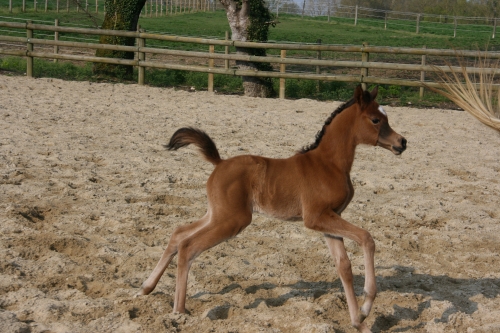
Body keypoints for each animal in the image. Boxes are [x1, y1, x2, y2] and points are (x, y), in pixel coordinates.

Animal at [136, 85, 406, 330]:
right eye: (376, 119)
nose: (402, 142)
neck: (328, 164)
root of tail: (219, 162)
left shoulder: (329, 220)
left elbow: (344, 267)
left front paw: (357, 320)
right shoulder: (316, 217)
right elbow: (367, 238)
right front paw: (366, 306)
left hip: (217, 214)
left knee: (178, 233)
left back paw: (146, 288)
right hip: (233, 220)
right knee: (188, 246)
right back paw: (179, 311)